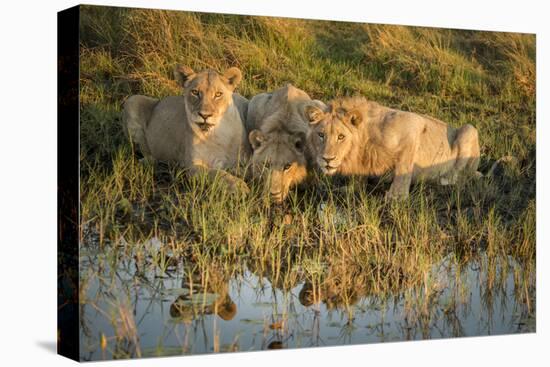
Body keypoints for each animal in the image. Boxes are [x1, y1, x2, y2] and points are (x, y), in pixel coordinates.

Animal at [306, 96, 484, 200]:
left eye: (341, 137)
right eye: (321, 135)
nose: (327, 159)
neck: (364, 142)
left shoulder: (414, 124)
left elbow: (403, 168)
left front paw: (396, 196)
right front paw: (349, 188)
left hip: (469, 129)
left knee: (461, 176)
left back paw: (444, 179)